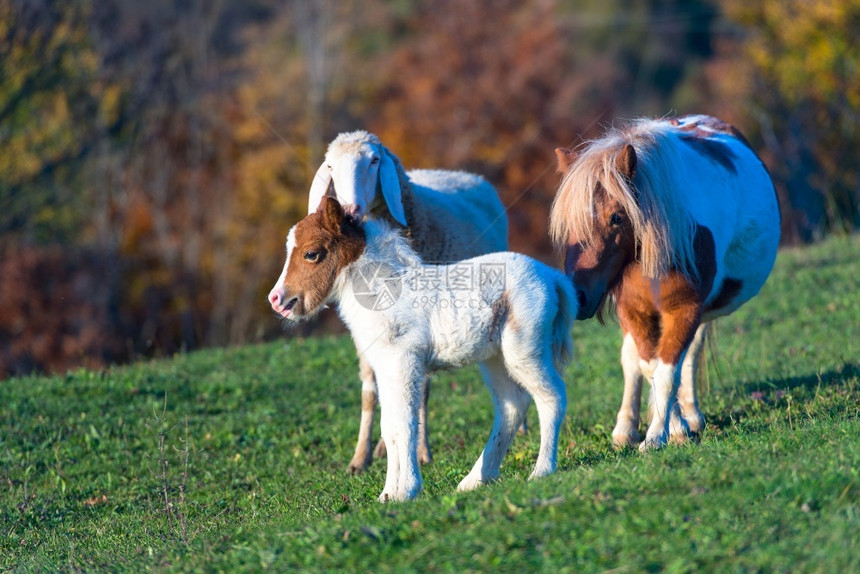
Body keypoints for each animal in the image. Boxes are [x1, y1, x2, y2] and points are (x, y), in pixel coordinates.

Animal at [272, 199, 576, 504]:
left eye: (311, 254)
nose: (277, 299)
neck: (384, 290)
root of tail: (551, 276)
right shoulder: (384, 367)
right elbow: (389, 426)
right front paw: (387, 494)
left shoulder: (403, 361)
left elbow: (405, 422)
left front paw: (406, 490)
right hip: (495, 359)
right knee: (512, 405)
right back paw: (475, 479)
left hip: (524, 349)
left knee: (552, 397)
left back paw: (542, 471)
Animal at [284, 133, 510, 474]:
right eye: (331, 166)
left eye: (374, 160)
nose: (350, 207)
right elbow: (369, 390)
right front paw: (360, 457)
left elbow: (422, 390)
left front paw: (420, 452)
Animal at [552, 116, 780, 450]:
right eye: (568, 223)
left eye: (617, 217)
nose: (578, 297)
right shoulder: (634, 312)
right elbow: (650, 368)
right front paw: (672, 427)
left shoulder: (685, 309)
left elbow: (669, 371)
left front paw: (663, 434)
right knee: (632, 361)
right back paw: (626, 428)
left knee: (690, 356)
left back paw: (691, 414)